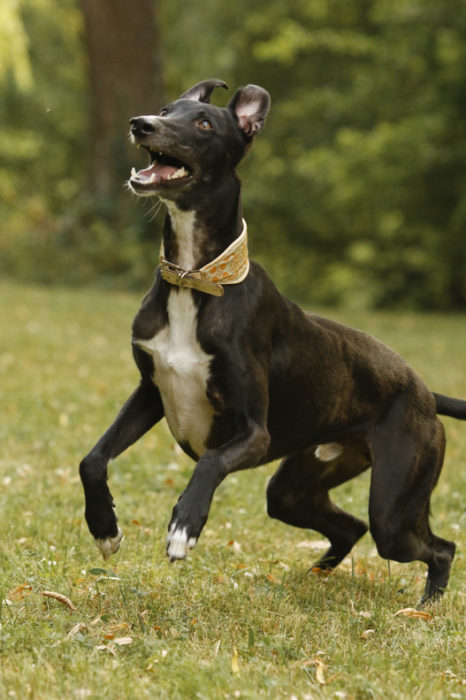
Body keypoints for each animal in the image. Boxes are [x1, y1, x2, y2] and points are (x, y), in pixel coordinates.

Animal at [80, 79, 466, 604]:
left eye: (204, 123)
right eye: (166, 108)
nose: (141, 124)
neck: (197, 279)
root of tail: (424, 390)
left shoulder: (252, 433)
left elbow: (210, 463)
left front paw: (184, 526)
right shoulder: (150, 393)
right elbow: (93, 459)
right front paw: (104, 528)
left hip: (396, 503)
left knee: (437, 547)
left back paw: (425, 607)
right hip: (295, 488)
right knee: (349, 527)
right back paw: (316, 577)